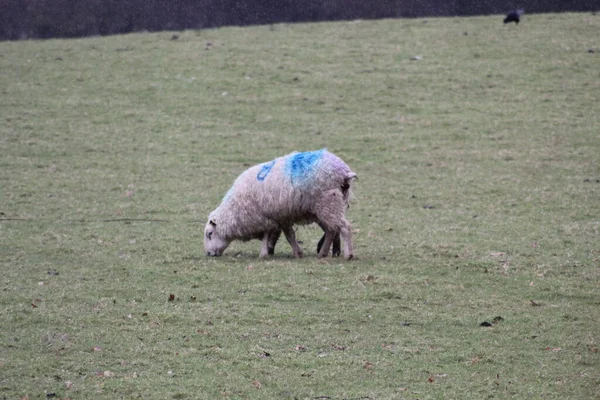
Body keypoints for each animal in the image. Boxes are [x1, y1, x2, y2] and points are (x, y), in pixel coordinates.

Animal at [204, 150, 358, 260]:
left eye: (210, 234)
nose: (209, 254)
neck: (234, 209)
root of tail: (344, 172)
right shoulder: (276, 217)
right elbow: (276, 235)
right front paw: (271, 250)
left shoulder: (272, 217)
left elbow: (285, 236)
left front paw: (267, 253)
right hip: (323, 208)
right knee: (331, 230)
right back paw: (323, 253)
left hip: (328, 202)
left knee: (344, 227)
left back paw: (348, 255)